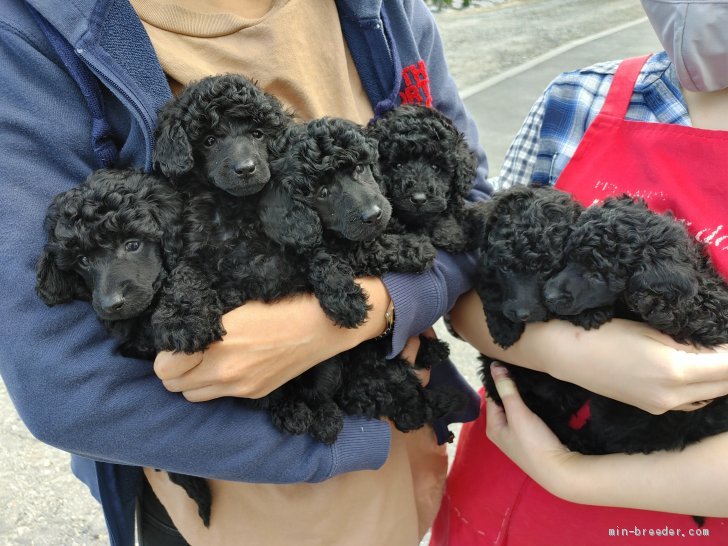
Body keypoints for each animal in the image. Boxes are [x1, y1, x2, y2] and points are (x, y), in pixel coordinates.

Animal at [472, 185, 584, 346]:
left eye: (546, 269)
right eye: (505, 268)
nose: (522, 314)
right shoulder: (485, 270)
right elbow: (490, 293)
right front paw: (504, 328)